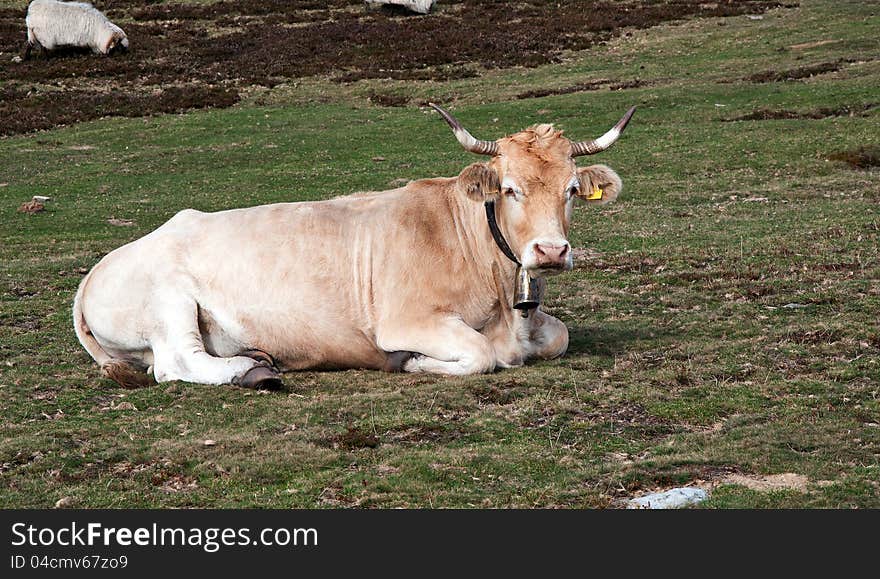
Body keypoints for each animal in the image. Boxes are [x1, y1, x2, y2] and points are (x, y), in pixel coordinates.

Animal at [70, 104, 632, 390]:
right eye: (511, 188)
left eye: (571, 190)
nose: (551, 251)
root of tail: (96, 271)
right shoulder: (406, 320)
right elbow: (480, 354)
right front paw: (414, 363)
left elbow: (558, 335)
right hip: (169, 303)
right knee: (175, 365)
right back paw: (253, 371)